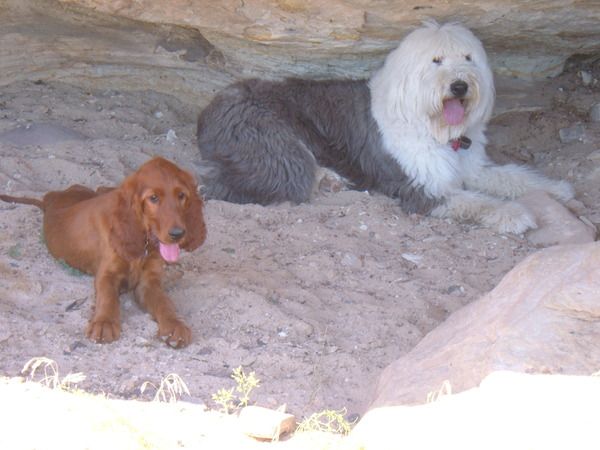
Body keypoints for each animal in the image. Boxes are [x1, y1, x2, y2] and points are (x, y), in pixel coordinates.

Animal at [0, 157, 206, 348]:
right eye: (153, 198)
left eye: (181, 195)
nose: (178, 234)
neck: (144, 244)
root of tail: (48, 201)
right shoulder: (107, 274)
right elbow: (107, 297)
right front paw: (104, 323)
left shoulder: (149, 281)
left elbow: (164, 302)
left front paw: (175, 324)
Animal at [196, 21, 573, 233]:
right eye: (436, 61)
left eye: (468, 58)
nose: (460, 86)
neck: (433, 128)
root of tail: (211, 105)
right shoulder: (419, 186)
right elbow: (474, 201)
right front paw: (513, 214)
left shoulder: (471, 166)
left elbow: (512, 177)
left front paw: (556, 189)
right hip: (278, 149)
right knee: (235, 186)